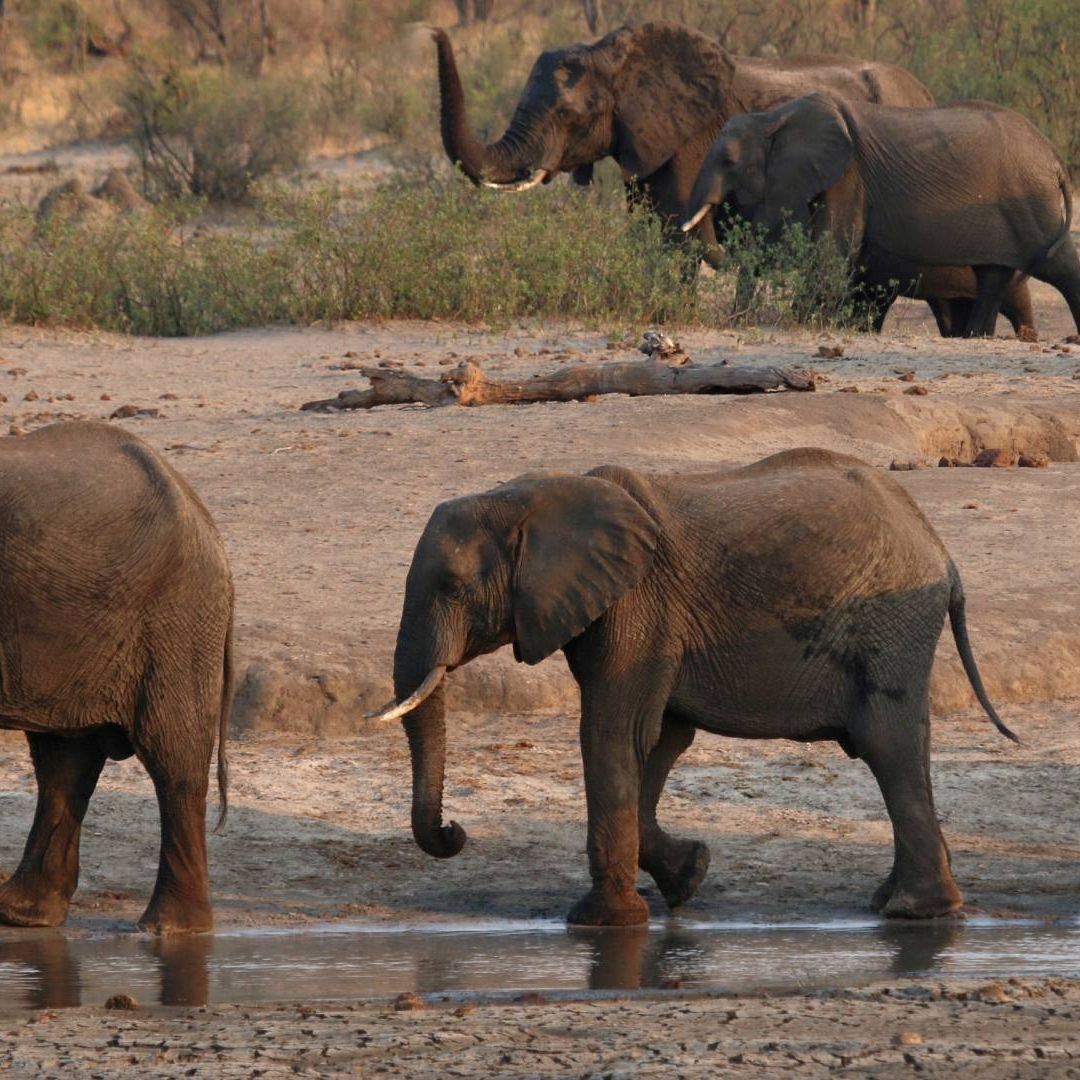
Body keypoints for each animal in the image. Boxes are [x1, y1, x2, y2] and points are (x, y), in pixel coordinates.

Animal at [369, 448, 1015, 927]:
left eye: (453, 587)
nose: (455, 832)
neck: (533, 496)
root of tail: (942, 551)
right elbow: (658, 741)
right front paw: (690, 876)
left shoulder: (637, 606)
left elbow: (614, 734)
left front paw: (602, 922)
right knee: (904, 747)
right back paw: (898, 903)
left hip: (891, 626)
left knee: (888, 745)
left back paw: (913, 911)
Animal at [683, 93, 1080, 338]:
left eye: (729, 161)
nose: (735, 320)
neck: (774, 117)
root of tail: (1054, 157)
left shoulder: (848, 178)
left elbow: (831, 253)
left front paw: (799, 322)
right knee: (993, 275)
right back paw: (974, 337)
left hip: (1031, 203)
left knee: (1055, 264)